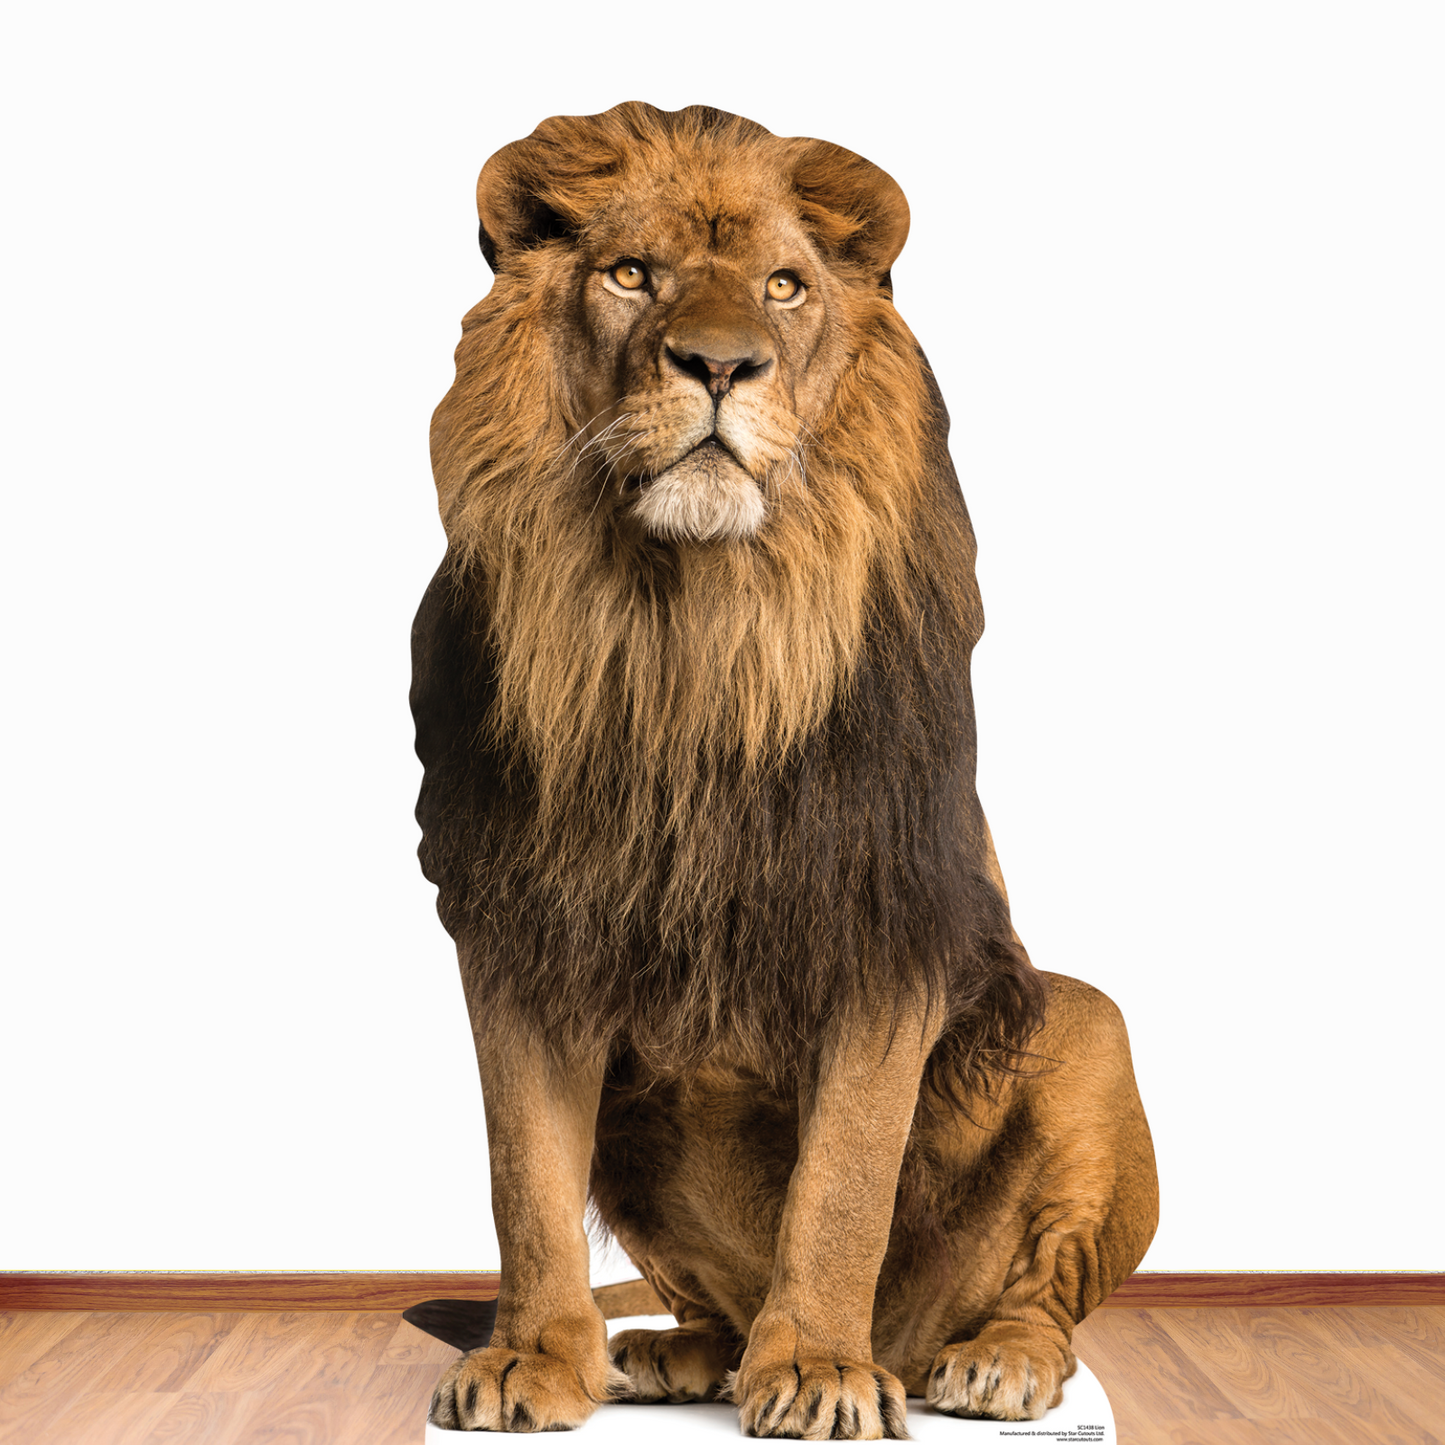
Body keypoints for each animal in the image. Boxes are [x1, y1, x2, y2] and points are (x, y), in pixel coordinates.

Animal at [411, 102, 1158, 1438]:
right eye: (630, 273)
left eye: (783, 287)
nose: (720, 366)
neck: (688, 629)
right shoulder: (513, 924)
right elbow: (522, 1174)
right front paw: (530, 1357)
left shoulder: (883, 919)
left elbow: (844, 1178)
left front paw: (814, 1366)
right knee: (696, 1289)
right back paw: (675, 1351)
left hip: (1083, 1024)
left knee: (1042, 1290)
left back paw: (986, 1360)